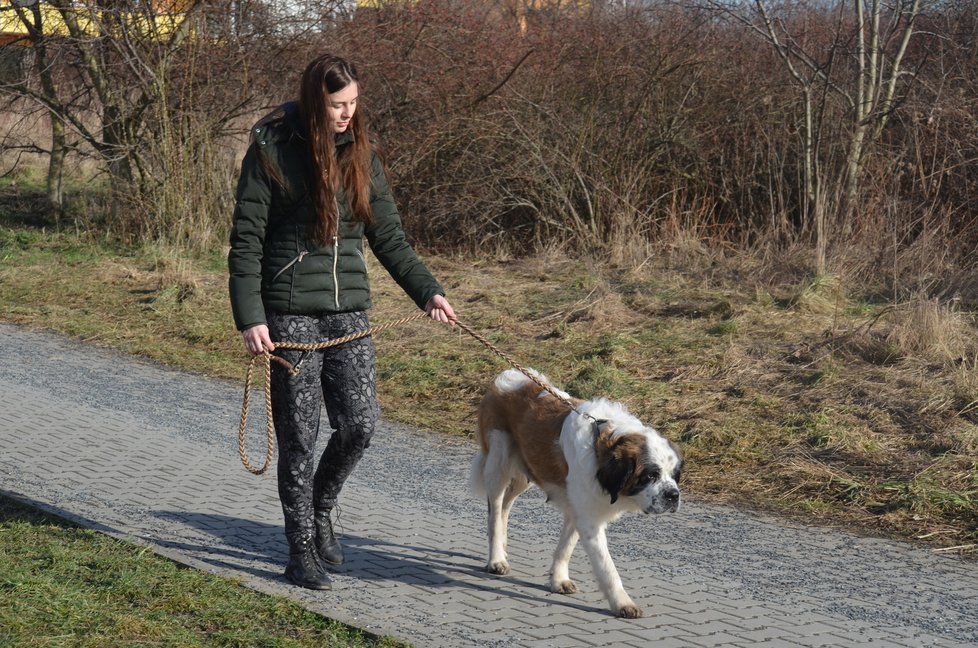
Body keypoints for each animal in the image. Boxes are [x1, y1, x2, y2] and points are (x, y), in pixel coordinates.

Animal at [468, 370, 684, 616]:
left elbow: (566, 547)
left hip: (527, 471)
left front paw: (559, 580)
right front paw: (622, 602)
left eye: (675, 475)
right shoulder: (589, 519)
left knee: (505, 505)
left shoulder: (577, 508)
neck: (601, 449)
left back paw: (502, 549)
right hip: (498, 463)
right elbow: (606, 566)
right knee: (495, 511)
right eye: (650, 476)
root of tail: (507, 376)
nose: (673, 495)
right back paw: (496, 559)